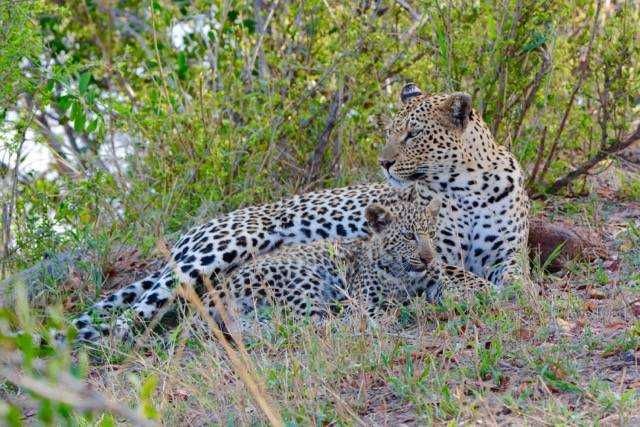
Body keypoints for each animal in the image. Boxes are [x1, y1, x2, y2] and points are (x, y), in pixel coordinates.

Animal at [70, 83, 528, 342]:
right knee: (130, 316)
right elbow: (460, 275)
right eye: (390, 132)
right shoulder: (438, 257)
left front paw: (515, 294)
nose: (383, 162)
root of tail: (191, 232)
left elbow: (519, 282)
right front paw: (485, 294)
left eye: (413, 134)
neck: (471, 187)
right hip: (224, 247)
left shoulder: (511, 255)